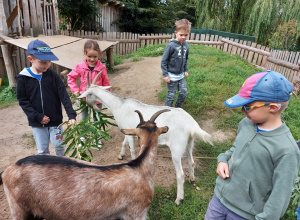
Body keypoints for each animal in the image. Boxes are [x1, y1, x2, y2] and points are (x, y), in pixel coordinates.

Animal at [78, 76, 212, 205]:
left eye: (87, 94)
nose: (91, 106)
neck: (119, 105)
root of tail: (191, 124)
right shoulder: (128, 131)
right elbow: (124, 142)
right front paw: (121, 155)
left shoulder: (130, 133)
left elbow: (132, 150)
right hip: (189, 142)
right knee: (191, 161)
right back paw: (192, 179)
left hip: (176, 147)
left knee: (180, 174)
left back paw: (179, 199)